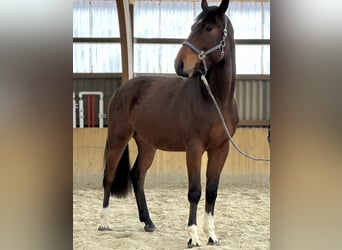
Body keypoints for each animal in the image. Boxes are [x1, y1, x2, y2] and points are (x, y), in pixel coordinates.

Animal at [99, 0, 238, 246]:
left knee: (137, 176)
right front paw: (193, 237)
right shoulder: (194, 148)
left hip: (147, 145)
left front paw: (211, 235)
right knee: (109, 175)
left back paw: (148, 222)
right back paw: (104, 223)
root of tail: (123, 89)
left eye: (208, 27)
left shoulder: (221, 149)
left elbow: (212, 192)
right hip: (118, 138)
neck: (217, 100)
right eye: (193, 27)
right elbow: (195, 191)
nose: (179, 64)